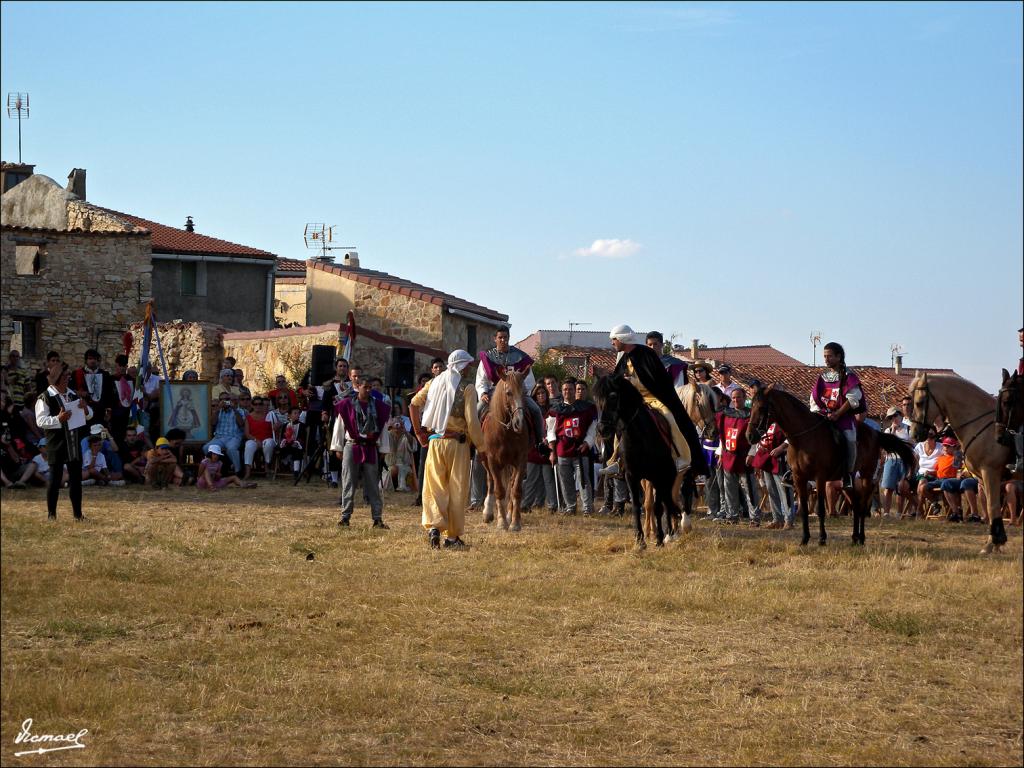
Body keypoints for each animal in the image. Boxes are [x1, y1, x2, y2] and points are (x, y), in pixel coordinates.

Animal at [479, 372, 532, 536]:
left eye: (525, 392)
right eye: (508, 393)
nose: (519, 422)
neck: (506, 432)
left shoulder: (521, 461)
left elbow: (516, 490)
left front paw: (514, 523)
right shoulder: (493, 461)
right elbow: (499, 490)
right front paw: (501, 522)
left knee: (511, 483)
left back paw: (508, 514)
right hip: (485, 461)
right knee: (491, 482)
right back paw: (488, 513)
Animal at [589, 376, 684, 548]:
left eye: (613, 396)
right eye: (597, 399)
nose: (602, 429)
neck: (640, 437)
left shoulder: (658, 476)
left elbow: (658, 507)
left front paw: (659, 538)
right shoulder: (632, 476)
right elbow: (636, 506)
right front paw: (640, 540)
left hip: (670, 477)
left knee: (668, 501)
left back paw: (670, 533)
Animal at [749, 382, 917, 548]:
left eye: (762, 408)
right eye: (751, 407)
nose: (750, 436)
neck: (804, 438)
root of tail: (875, 433)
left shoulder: (820, 478)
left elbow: (821, 509)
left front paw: (822, 539)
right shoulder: (799, 478)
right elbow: (804, 510)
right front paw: (804, 539)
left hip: (866, 475)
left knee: (863, 505)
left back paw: (861, 538)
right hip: (848, 482)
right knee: (856, 505)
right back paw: (854, 537)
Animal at [913, 372, 1015, 552]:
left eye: (919, 403)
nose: (915, 434)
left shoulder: (990, 472)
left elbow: (992, 506)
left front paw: (992, 543)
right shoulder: (982, 478)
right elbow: (992, 507)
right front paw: (995, 542)